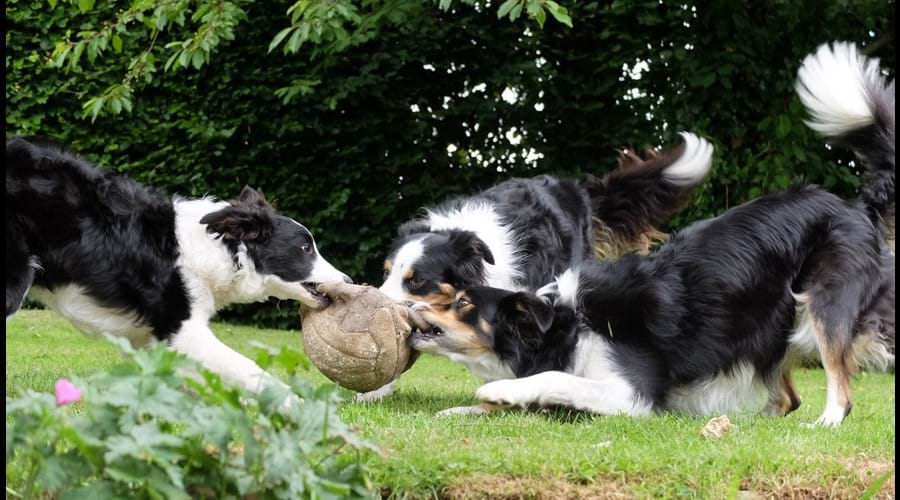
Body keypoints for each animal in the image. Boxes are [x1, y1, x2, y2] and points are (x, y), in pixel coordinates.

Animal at [7, 138, 352, 394]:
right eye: (306, 248)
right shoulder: (182, 328)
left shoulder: (155, 341)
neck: (217, 250)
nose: (348, 279)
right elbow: (249, 370)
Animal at [414, 42, 892, 426]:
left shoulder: (629, 392)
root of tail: (855, 206)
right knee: (787, 395)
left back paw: (826, 421)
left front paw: (499, 391)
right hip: (766, 326)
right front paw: (467, 409)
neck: (563, 326)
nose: (411, 309)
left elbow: (553, 379)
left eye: (463, 303)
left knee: (838, 384)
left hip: (824, 303)